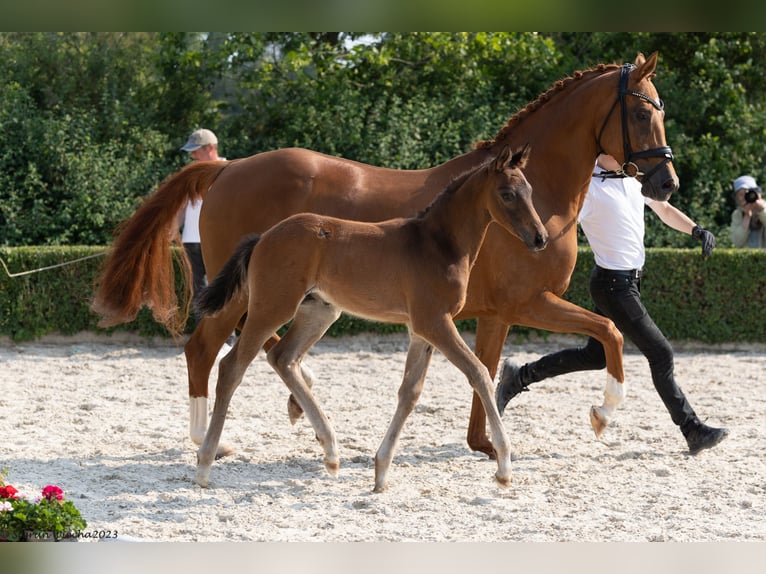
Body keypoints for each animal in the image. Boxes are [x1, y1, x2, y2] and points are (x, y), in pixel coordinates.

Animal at [91, 53, 680, 460]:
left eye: (659, 109)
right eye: (639, 110)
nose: (666, 182)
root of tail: (227, 168)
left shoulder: (496, 313)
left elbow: (488, 370)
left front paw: (486, 444)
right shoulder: (530, 302)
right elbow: (611, 331)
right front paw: (603, 412)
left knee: (260, 351)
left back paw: (294, 408)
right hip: (244, 294)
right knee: (207, 349)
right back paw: (209, 440)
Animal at [195, 145, 548, 496]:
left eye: (531, 191)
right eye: (506, 194)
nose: (540, 238)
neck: (437, 244)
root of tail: (263, 237)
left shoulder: (420, 330)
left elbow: (410, 392)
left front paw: (380, 471)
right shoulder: (436, 322)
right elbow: (479, 373)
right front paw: (503, 467)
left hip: (320, 311)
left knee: (283, 358)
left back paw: (331, 452)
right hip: (270, 307)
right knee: (231, 367)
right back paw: (204, 464)